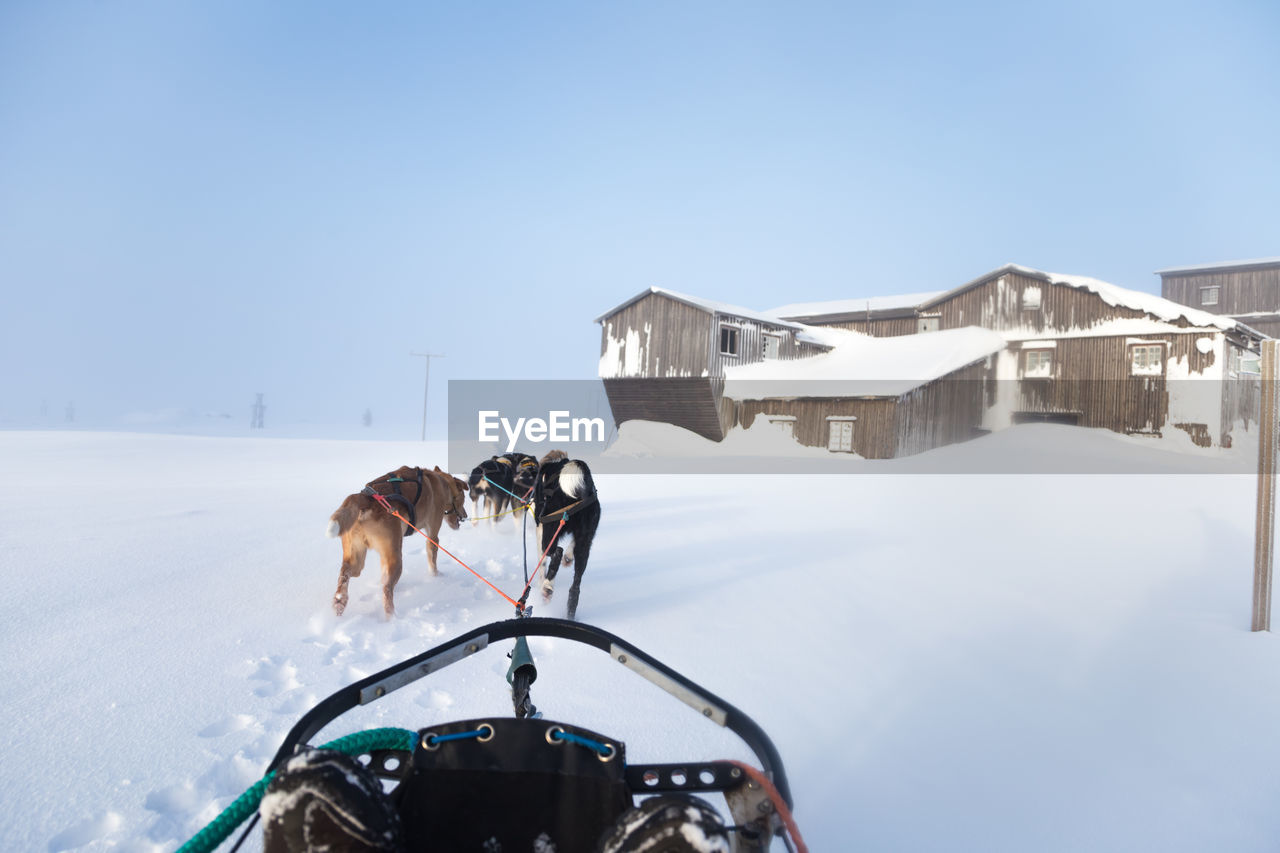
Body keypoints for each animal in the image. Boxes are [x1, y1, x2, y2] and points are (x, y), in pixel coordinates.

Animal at [325, 461, 471, 614]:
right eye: (464, 499)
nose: (466, 515)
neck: (441, 482)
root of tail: (365, 499)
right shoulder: (433, 536)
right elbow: (432, 561)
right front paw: (436, 577)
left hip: (356, 560)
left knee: (345, 574)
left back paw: (340, 601)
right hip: (395, 558)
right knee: (386, 589)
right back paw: (392, 616)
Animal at [537, 455, 601, 614]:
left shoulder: (541, 531)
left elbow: (542, 562)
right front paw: (569, 557)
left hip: (549, 534)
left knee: (556, 551)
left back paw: (547, 587)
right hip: (585, 542)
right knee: (575, 588)